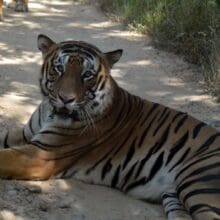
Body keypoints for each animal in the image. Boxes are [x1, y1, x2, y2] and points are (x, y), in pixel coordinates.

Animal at [0, 34, 220, 220]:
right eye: (59, 68)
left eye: (87, 74)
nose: (66, 99)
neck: (49, 111)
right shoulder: (26, 135)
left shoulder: (42, 153)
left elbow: (3, 157)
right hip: (174, 197)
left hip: (196, 182)